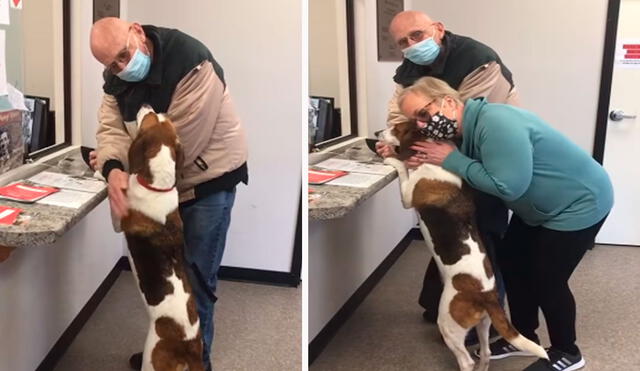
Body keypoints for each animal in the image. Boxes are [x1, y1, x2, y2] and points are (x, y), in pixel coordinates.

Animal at [122, 105, 205, 371]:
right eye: (162, 119)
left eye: (149, 118)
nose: (148, 106)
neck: (159, 185)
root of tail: (189, 346)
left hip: (152, 358)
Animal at [378, 120, 548, 370]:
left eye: (397, 128)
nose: (377, 133)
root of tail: (487, 295)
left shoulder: (409, 194)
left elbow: (401, 168)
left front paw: (391, 158)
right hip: (484, 323)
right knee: (485, 353)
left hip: (449, 323)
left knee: (466, 361)